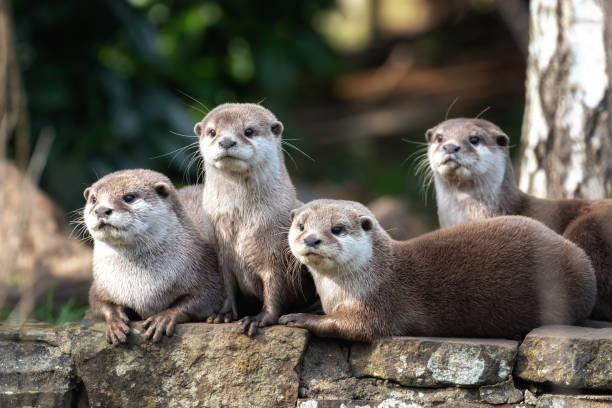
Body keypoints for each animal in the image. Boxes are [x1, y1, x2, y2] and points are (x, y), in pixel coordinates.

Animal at [83, 169, 222, 344]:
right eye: (94, 199)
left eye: (129, 197)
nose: (101, 210)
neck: (141, 286)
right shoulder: (102, 285)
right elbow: (98, 302)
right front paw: (115, 321)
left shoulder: (204, 270)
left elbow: (205, 298)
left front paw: (164, 317)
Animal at [195, 102, 316, 334]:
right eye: (212, 132)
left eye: (249, 131)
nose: (226, 141)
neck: (242, 223)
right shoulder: (222, 254)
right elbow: (227, 287)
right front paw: (223, 314)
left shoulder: (277, 257)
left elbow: (276, 290)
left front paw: (259, 318)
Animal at [280, 199, 596, 342]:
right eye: (301, 226)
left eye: (337, 229)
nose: (311, 239)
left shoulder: (379, 304)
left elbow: (353, 327)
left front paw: (300, 318)